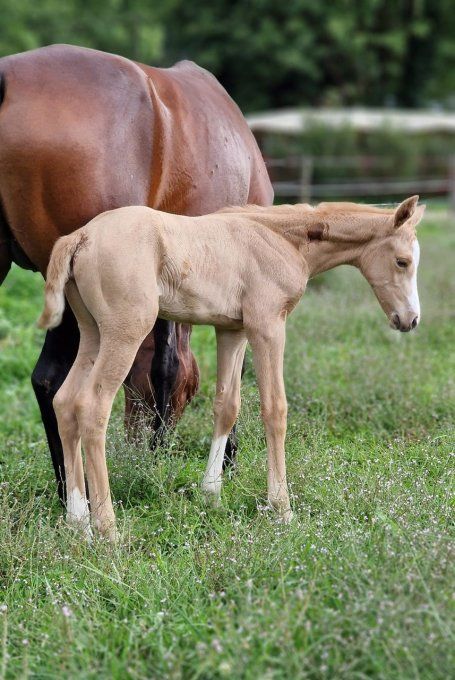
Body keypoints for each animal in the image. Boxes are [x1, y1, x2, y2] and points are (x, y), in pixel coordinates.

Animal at [38, 194, 424, 540]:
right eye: (403, 262)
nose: (410, 320)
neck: (283, 239)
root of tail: (81, 236)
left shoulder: (232, 330)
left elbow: (227, 405)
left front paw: (211, 494)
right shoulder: (267, 325)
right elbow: (275, 409)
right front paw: (282, 509)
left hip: (92, 332)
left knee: (65, 402)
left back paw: (79, 523)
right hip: (126, 330)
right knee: (92, 407)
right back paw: (108, 529)